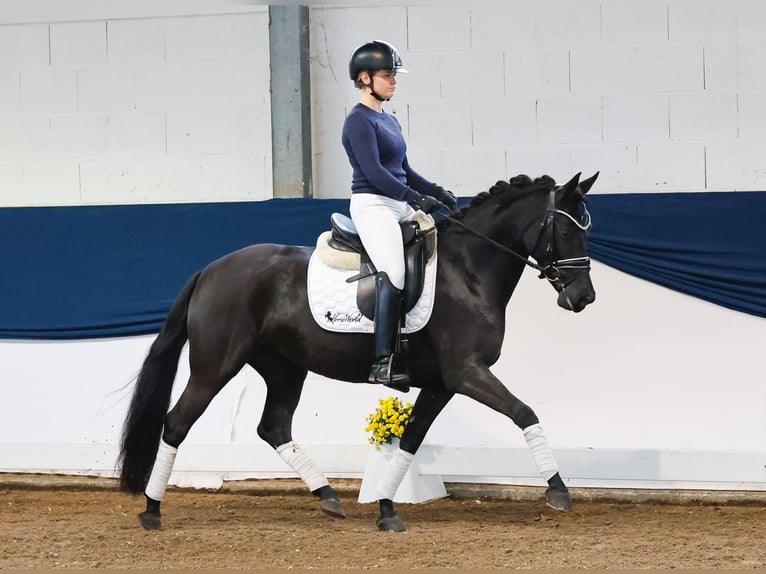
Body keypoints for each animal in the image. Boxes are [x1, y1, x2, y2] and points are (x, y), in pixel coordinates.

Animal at [118, 173, 600, 532]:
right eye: (565, 229)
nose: (583, 298)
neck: (468, 271)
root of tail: (211, 268)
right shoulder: (467, 372)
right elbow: (525, 413)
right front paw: (558, 491)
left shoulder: (443, 384)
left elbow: (411, 439)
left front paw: (386, 508)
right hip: (215, 365)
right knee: (177, 422)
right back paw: (152, 510)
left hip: (284, 368)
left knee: (274, 426)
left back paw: (328, 497)